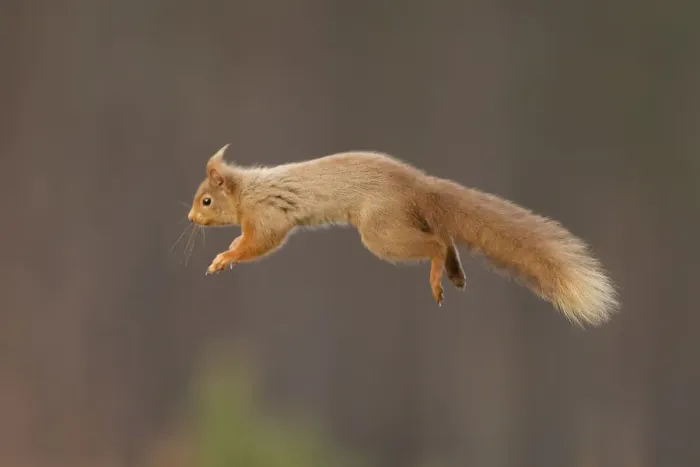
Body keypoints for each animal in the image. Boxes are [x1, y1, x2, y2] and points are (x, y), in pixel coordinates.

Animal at [187, 144, 618, 327]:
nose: (190, 217)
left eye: (206, 200)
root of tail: (416, 185)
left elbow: (259, 243)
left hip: (382, 231)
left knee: (436, 242)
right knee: (444, 236)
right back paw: (455, 273)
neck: (246, 190)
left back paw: (439, 278)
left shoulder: (268, 217)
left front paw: (223, 257)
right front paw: (227, 250)